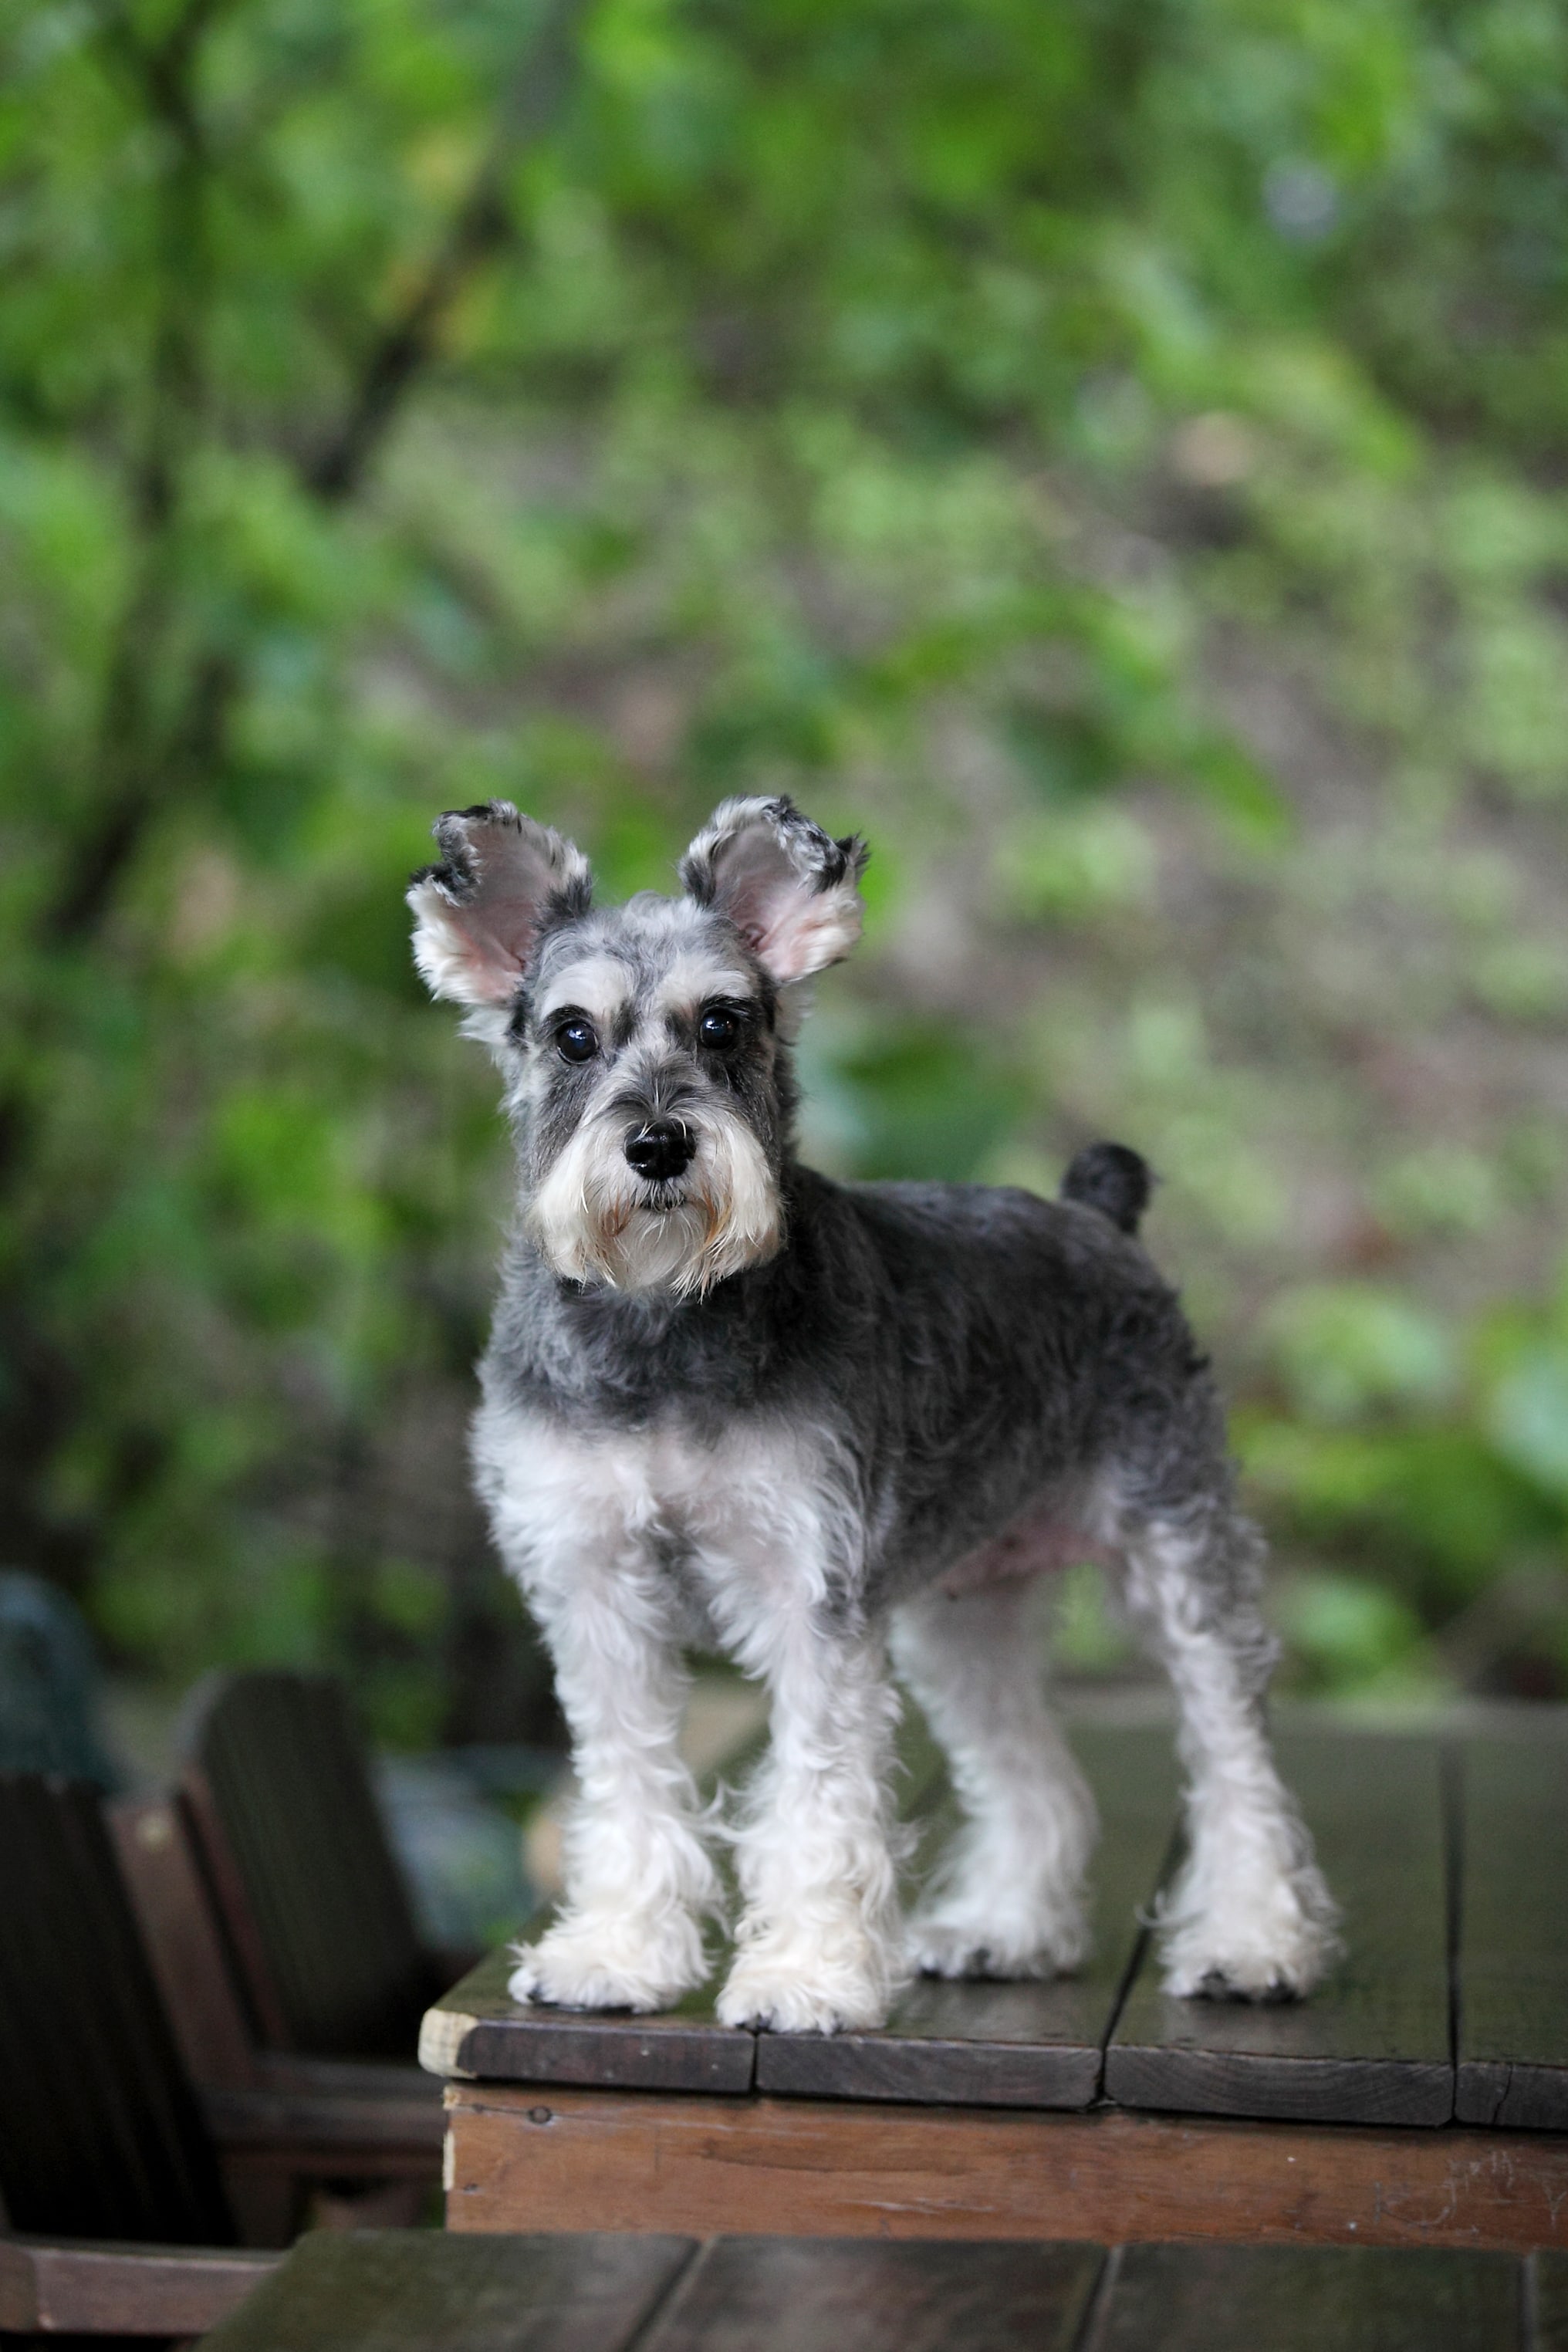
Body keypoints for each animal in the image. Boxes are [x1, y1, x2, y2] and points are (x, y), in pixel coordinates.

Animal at [414, 795, 1335, 2041]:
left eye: (722, 1023)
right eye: (570, 1035)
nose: (657, 1143)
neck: (663, 1324)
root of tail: (1101, 1220)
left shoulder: (809, 1598)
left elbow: (816, 1799)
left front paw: (804, 1979)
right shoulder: (596, 1589)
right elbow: (629, 1785)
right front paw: (615, 1955)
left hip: (1182, 1562)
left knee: (1237, 1766)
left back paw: (1253, 1946)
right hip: (967, 1617)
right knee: (1037, 1777)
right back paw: (1005, 1930)